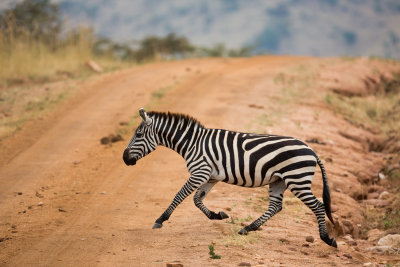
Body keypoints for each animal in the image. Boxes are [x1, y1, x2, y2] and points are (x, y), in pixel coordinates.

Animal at [122, 109, 338, 249]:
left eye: (138, 134)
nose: (124, 159)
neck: (192, 143)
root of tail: (312, 150)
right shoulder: (209, 176)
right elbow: (196, 199)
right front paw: (217, 215)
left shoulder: (199, 172)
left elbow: (179, 196)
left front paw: (160, 219)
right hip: (279, 181)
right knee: (276, 206)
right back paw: (248, 228)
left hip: (297, 180)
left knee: (318, 205)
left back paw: (327, 238)